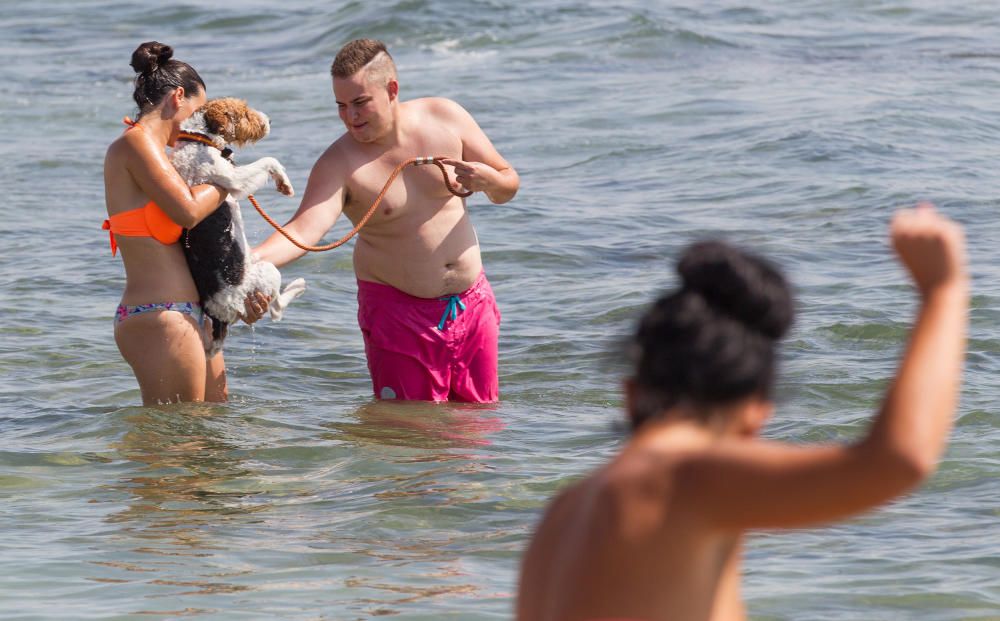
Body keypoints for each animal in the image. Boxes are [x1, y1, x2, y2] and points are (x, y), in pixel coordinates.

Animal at [171, 99, 304, 356]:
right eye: (244, 112)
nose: (269, 121)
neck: (197, 139)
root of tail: (219, 317)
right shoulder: (232, 178)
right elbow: (268, 160)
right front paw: (285, 183)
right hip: (266, 273)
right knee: (277, 310)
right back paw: (298, 286)